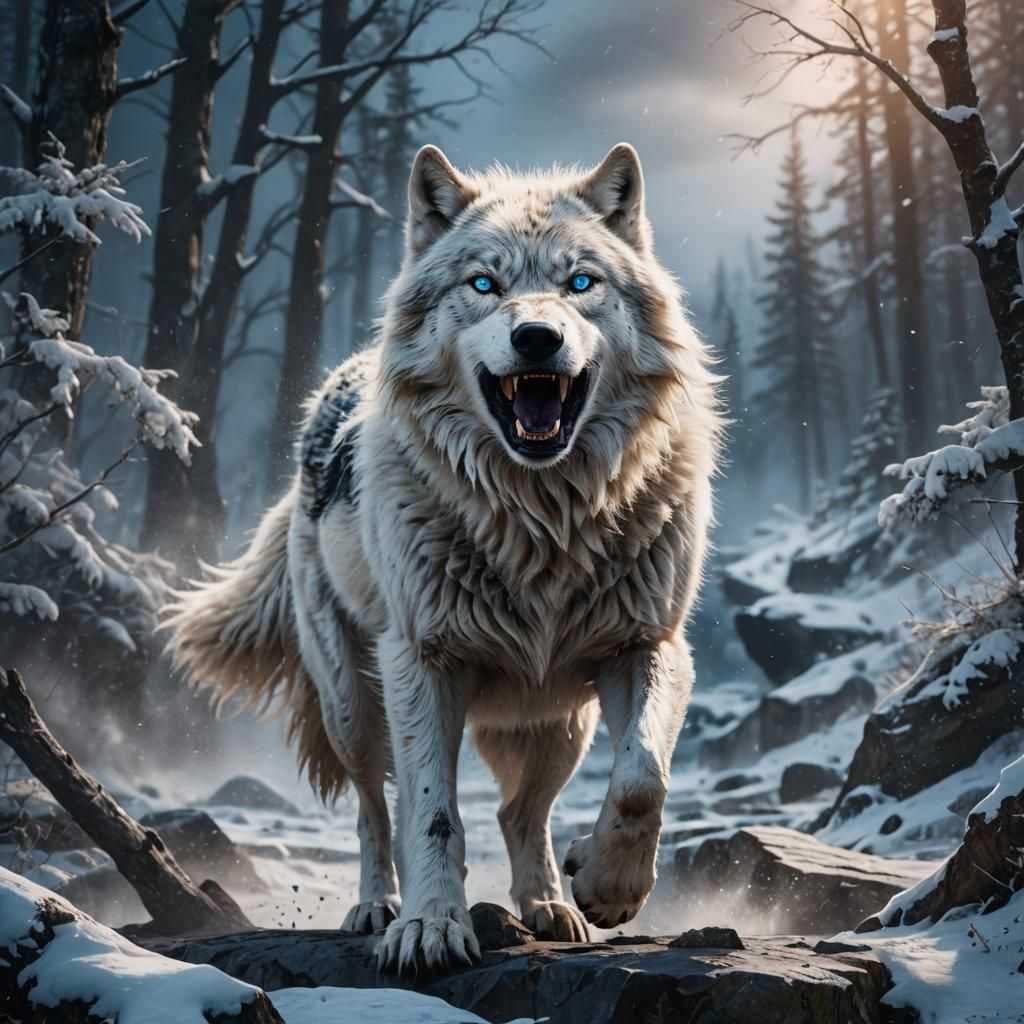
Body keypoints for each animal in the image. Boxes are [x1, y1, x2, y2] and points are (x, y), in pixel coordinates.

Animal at [165, 143, 721, 975]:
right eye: (484, 284)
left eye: (580, 282)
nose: (536, 338)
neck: (540, 523)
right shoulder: (423, 661)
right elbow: (430, 814)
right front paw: (429, 928)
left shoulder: (647, 646)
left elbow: (641, 779)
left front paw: (611, 887)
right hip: (353, 704)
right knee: (377, 810)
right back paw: (377, 907)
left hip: (561, 720)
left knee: (521, 811)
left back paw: (552, 905)